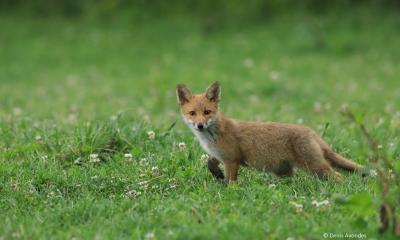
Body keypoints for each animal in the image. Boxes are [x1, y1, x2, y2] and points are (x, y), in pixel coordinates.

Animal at [177, 81, 364, 183]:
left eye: (207, 112)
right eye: (192, 113)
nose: (200, 125)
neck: (211, 137)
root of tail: (310, 131)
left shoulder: (232, 159)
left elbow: (231, 181)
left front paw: (228, 190)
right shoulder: (220, 155)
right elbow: (210, 163)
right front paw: (217, 174)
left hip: (315, 167)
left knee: (339, 177)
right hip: (283, 170)